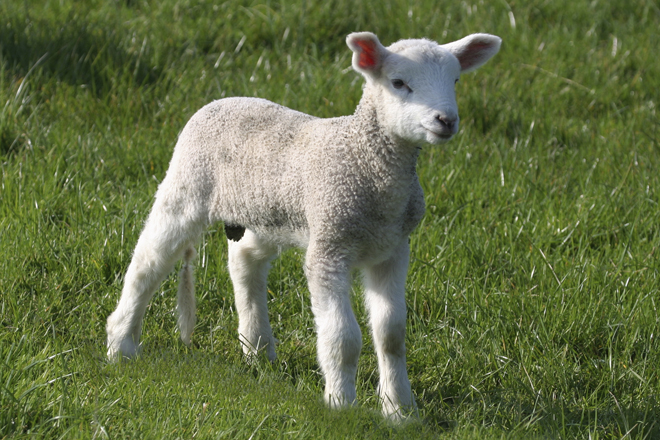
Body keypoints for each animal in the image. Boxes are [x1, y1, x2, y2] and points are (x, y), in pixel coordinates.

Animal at [106, 31, 501, 419]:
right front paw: (341, 405)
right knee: (148, 261)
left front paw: (401, 411)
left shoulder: (392, 248)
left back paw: (257, 348)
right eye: (399, 83)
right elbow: (343, 337)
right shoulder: (329, 246)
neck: (366, 162)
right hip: (187, 185)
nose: (446, 120)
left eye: (455, 80)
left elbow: (391, 334)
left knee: (244, 260)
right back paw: (120, 344)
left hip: (268, 213)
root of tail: (224, 99)